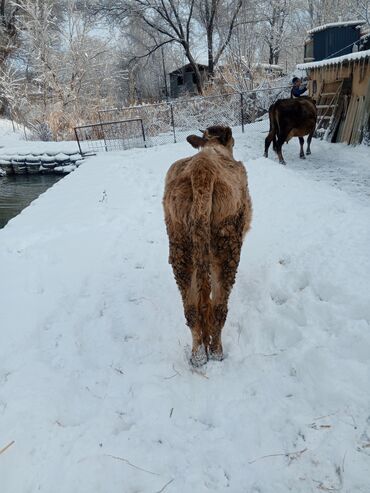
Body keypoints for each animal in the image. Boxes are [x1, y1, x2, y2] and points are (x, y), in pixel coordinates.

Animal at [163, 127, 253, 366]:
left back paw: (198, 355)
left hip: (180, 245)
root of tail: (202, 170)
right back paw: (216, 351)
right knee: (220, 307)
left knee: (191, 308)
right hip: (228, 245)